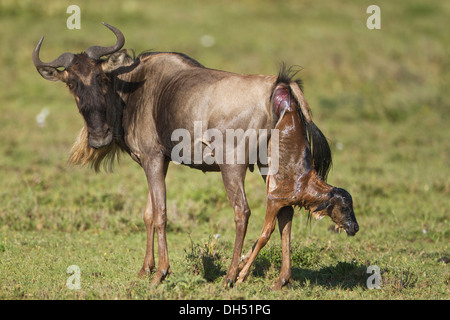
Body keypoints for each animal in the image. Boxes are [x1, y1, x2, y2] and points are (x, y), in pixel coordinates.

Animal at [32, 21, 358, 288]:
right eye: (71, 83)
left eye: (101, 79)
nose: (99, 137)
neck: (133, 90)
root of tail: (279, 86)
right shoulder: (158, 161)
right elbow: (148, 213)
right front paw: (145, 270)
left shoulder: (152, 158)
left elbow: (161, 214)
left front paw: (161, 273)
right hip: (272, 164)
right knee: (285, 210)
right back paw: (281, 279)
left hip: (233, 165)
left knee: (243, 211)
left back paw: (231, 276)